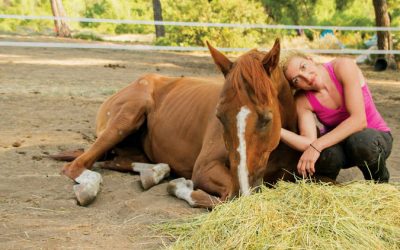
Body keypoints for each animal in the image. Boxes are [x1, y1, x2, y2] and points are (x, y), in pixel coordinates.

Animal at [54, 38, 304, 207]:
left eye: (266, 118)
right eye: (219, 116)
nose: (242, 189)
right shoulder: (204, 169)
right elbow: (218, 199)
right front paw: (180, 186)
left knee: (116, 162)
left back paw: (154, 173)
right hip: (125, 120)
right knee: (78, 165)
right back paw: (89, 189)